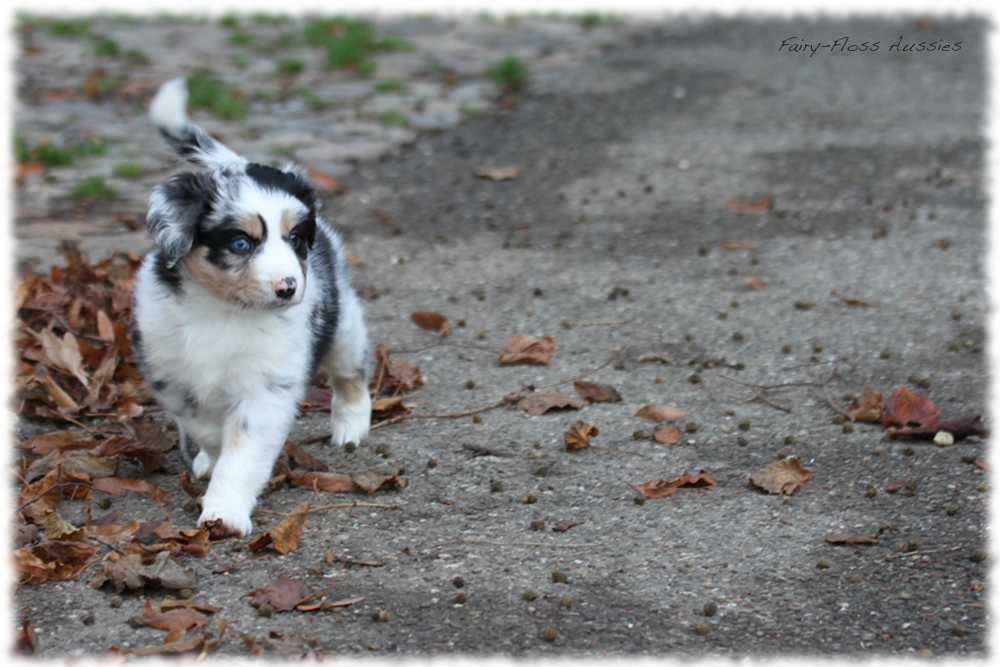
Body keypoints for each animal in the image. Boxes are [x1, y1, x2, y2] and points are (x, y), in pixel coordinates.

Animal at [129, 78, 372, 536]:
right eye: (241, 243)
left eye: (295, 239)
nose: (288, 287)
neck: (222, 311)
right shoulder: (172, 375)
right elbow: (205, 427)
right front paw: (210, 458)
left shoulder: (267, 387)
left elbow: (242, 453)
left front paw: (224, 514)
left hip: (343, 323)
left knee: (352, 371)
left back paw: (351, 426)